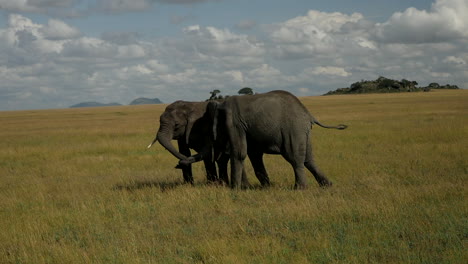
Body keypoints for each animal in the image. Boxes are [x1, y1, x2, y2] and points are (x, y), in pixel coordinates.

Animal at [181, 89, 346, 189]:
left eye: (207, 130)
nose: (179, 164)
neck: (220, 104)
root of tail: (309, 114)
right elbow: (254, 155)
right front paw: (266, 187)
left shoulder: (234, 123)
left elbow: (240, 153)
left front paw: (235, 190)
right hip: (303, 131)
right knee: (308, 159)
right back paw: (327, 186)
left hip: (293, 129)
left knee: (294, 158)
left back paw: (300, 189)